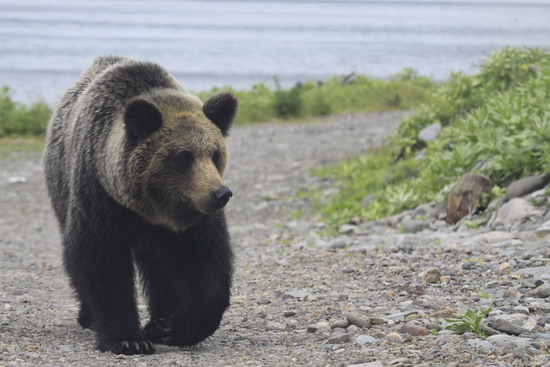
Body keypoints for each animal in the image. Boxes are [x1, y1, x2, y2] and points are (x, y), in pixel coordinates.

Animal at [44, 55, 238, 356]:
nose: (221, 193)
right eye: (183, 156)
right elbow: (101, 260)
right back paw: (89, 316)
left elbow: (206, 263)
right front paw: (127, 339)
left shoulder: (194, 218)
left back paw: (160, 320)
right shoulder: (100, 198)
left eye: (215, 154)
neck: (151, 209)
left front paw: (177, 327)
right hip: (63, 187)